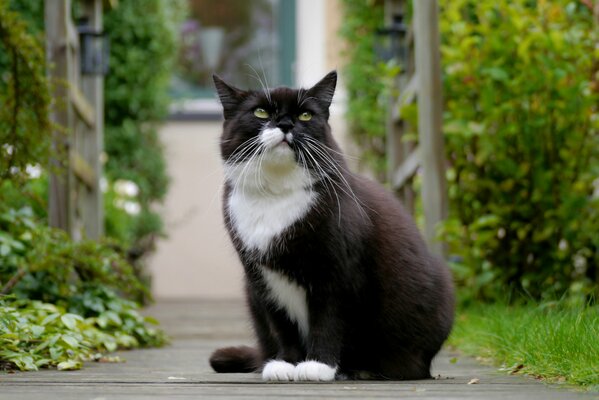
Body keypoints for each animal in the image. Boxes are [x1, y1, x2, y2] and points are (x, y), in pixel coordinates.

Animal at [210, 71, 454, 382]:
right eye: (261, 112)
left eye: (305, 115)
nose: (286, 124)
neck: (276, 195)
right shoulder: (261, 278)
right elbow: (281, 324)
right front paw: (285, 364)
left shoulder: (339, 271)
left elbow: (329, 319)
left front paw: (318, 365)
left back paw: (361, 370)